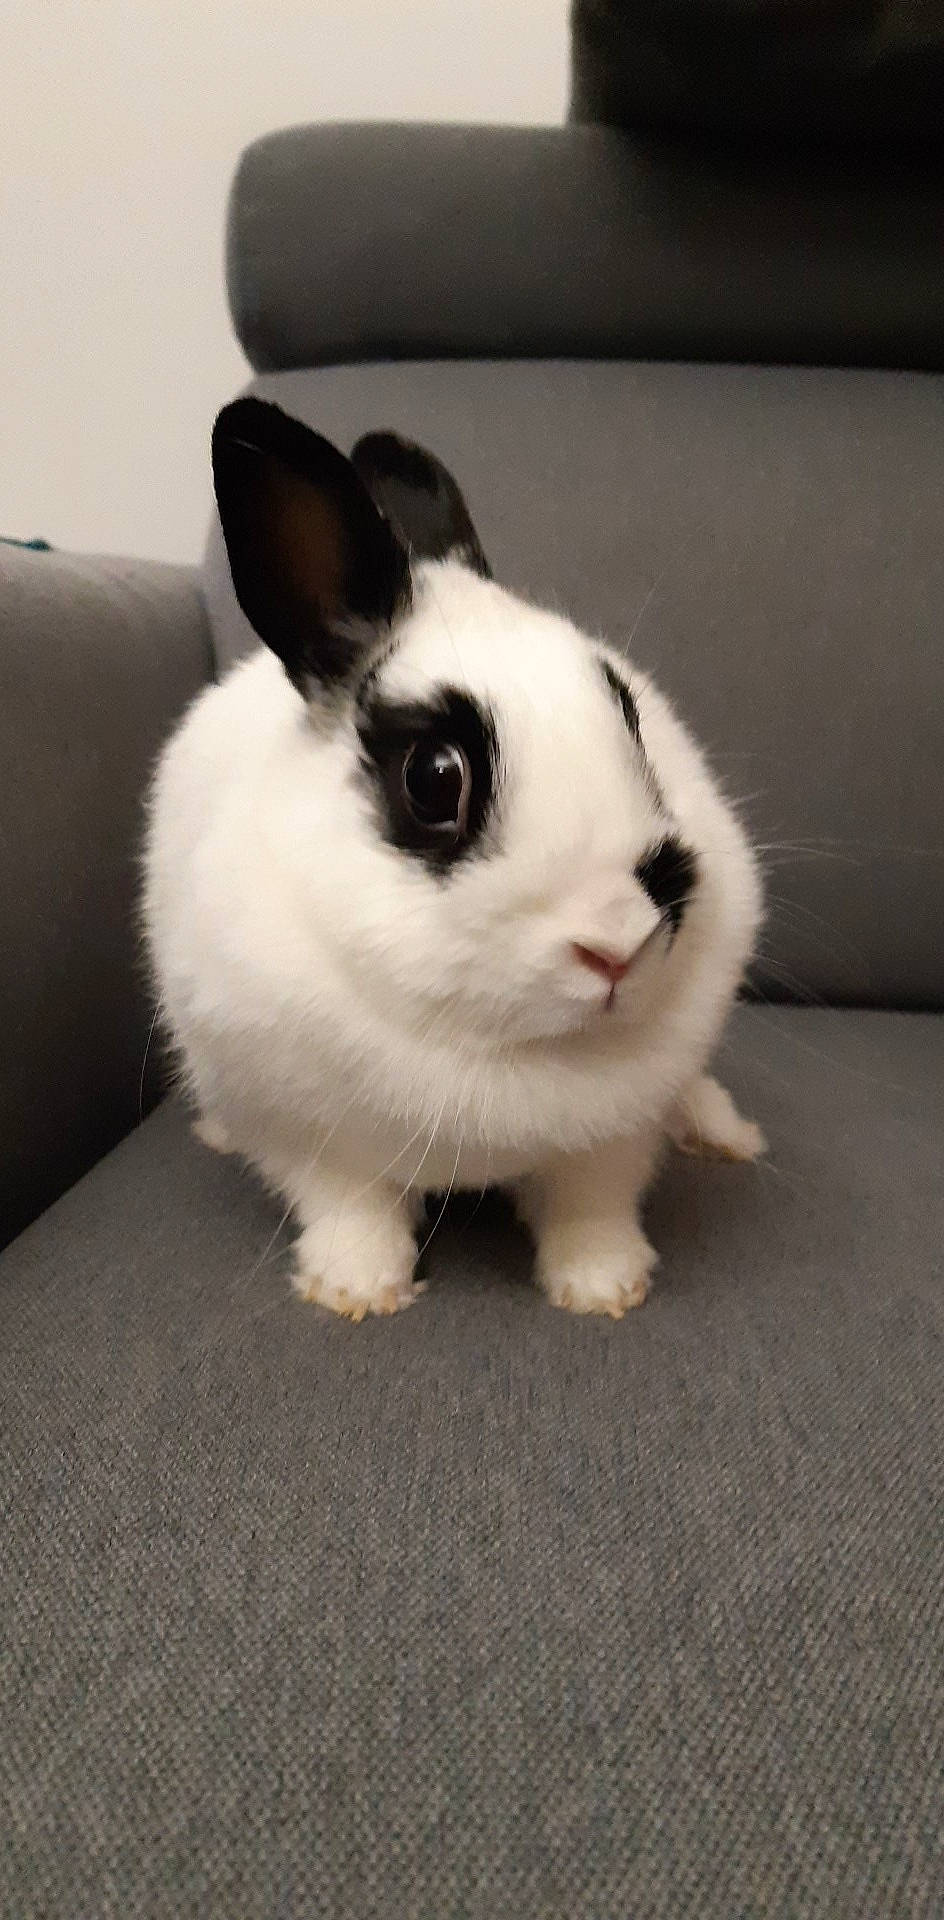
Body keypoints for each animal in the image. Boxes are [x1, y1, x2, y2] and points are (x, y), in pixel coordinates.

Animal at [143, 397, 765, 1321]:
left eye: (633, 719)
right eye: (434, 779)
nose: (616, 944)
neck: (496, 1051)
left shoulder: (611, 1142)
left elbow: (592, 1207)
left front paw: (605, 1289)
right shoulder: (310, 1135)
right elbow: (349, 1209)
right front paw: (356, 1291)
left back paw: (727, 1135)